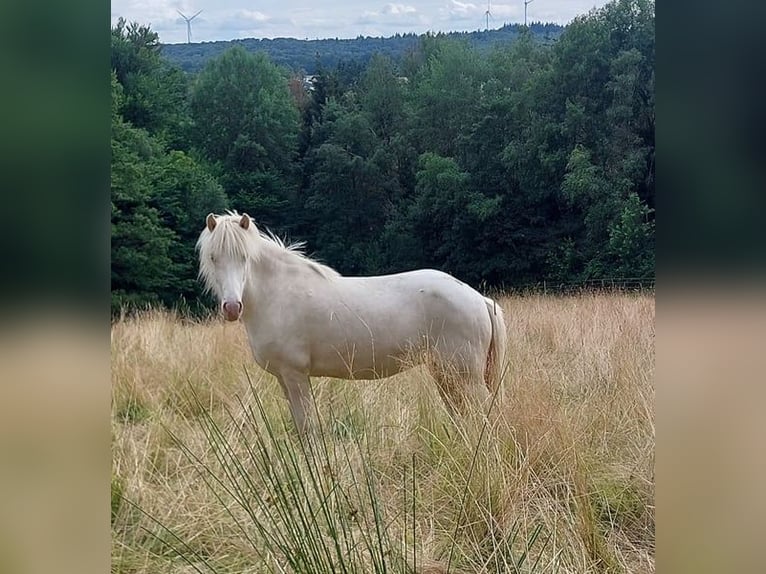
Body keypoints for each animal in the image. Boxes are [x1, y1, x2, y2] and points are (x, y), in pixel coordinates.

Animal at [198, 212, 510, 432]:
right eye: (213, 258)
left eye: (244, 257)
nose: (232, 307)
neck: (278, 293)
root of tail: (479, 299)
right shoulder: (284, 379)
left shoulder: (295, 375)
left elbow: (307, 428)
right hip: (446, 374)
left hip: (465, 377)